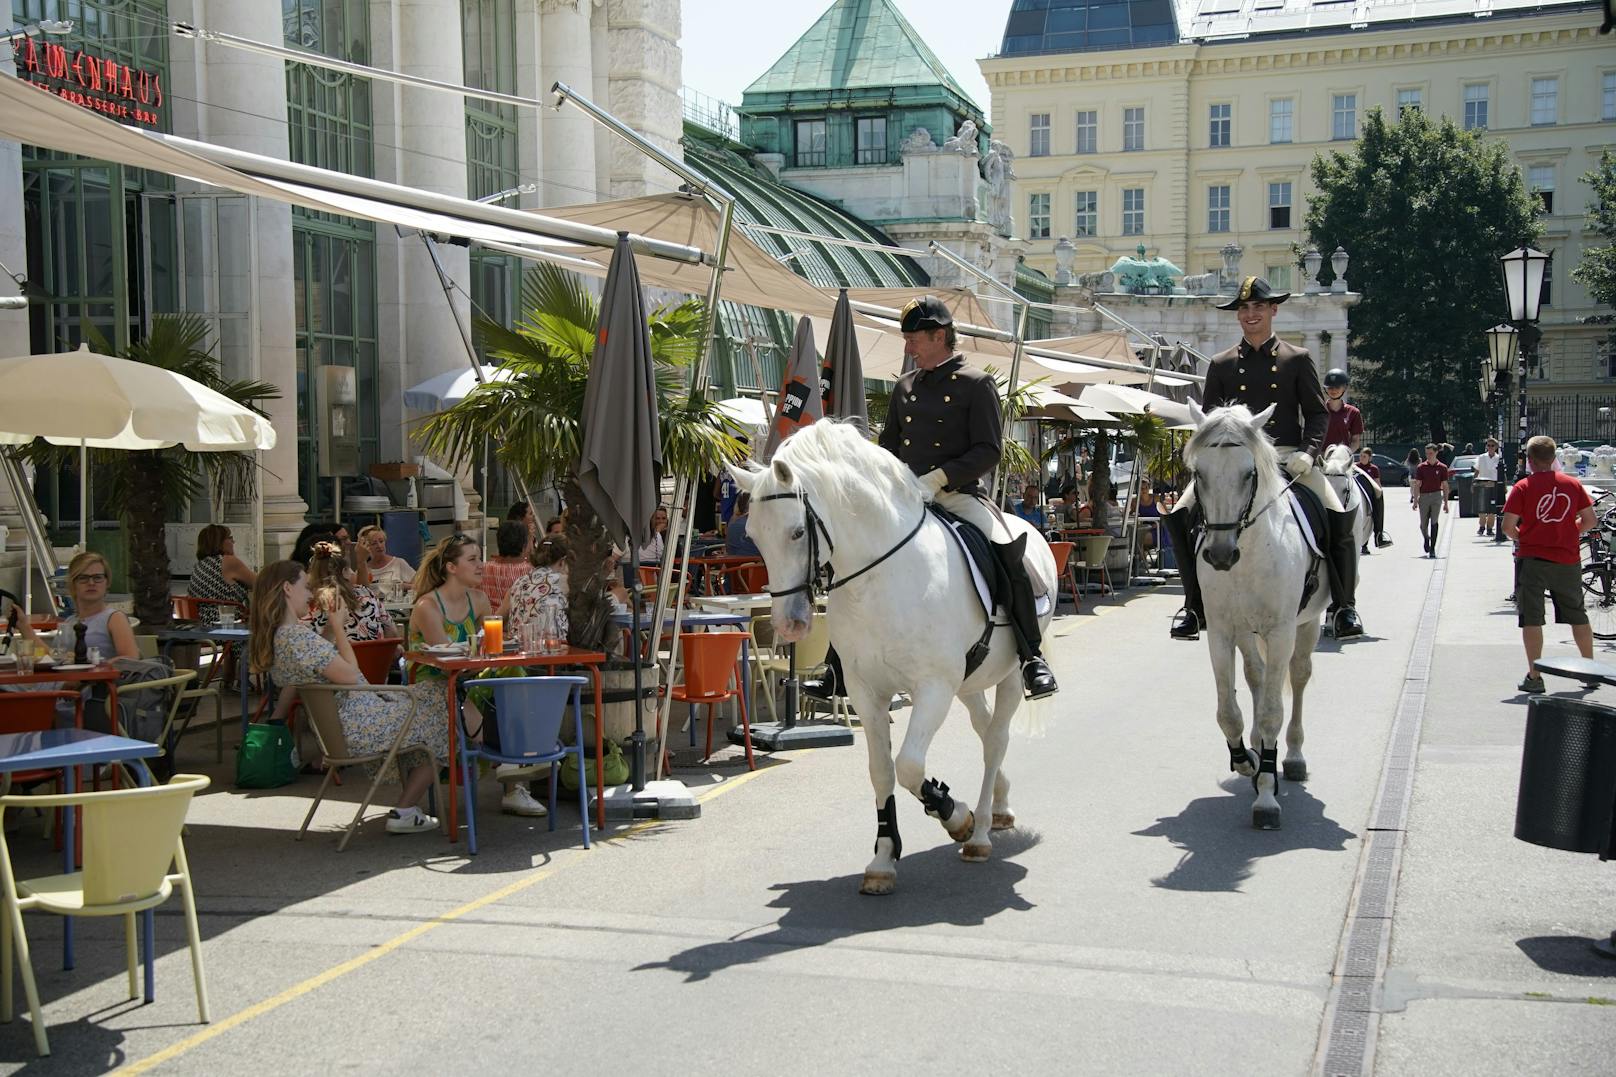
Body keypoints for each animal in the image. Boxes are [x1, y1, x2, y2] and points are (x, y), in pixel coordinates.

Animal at [730, 420, 1060, 886]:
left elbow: (908, 766)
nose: (788, 624)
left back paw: (978, 833)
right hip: (969, 681)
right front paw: (884, 858)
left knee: (996, 739)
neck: (881, 578)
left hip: (1010, 673)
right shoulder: (866, 691)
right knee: (983, 729)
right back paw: (999, 804)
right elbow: (882, 770)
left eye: (796, 532)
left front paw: (954, 815)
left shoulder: (933, 687)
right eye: (754, 537)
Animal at [1189, 397, 1325, 824]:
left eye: (1249, 474)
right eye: (1198, 473)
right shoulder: (1221, 632)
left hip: (1308, 624)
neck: (1248, 555)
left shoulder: (1281, 632)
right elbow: (1228, 711)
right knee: (1257, 677)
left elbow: (1271, 713)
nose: (1219, 554)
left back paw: (1292, 755)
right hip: (1248, 633)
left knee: (1298, 678)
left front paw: (1266, 796)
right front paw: (1247, 758)